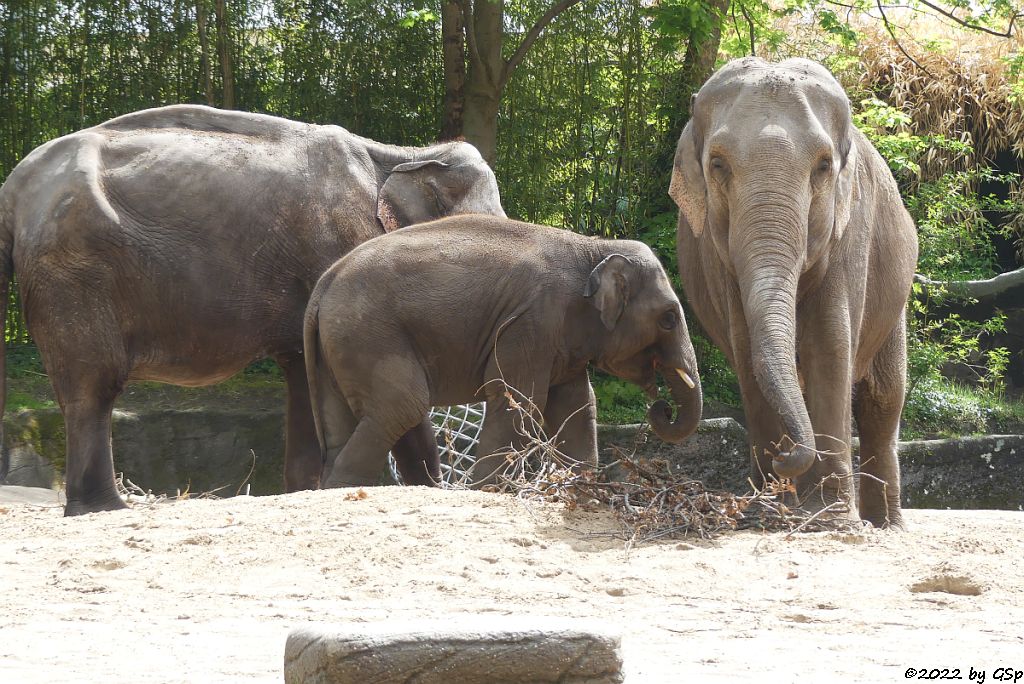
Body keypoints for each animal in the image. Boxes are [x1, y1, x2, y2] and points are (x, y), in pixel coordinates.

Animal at [303, 214, 704, 485]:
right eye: (669, 318)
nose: (661, 406)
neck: (594, 247)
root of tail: (323, 286)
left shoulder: (561, 339)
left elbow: (577, 405)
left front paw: (577, 484)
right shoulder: (532, 322)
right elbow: (520, 400)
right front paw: (486, 489)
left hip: (336, 348)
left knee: (347, 424)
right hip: (368, 335)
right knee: (404, 404)